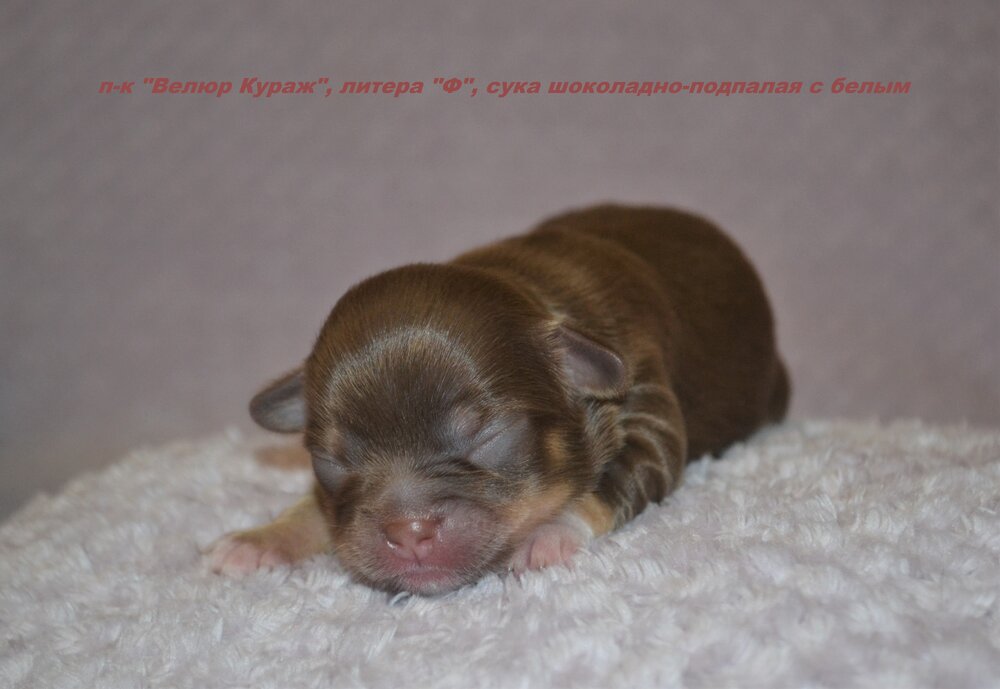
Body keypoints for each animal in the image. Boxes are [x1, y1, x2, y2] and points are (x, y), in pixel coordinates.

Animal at [207, 204, 789, 595]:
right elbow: (314, 507)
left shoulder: (646, 405)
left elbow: (614, 480)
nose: (408, 533)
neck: (528, 286)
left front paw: (549, 533)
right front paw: (262, 537)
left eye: (488, 437)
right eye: (332, 462)